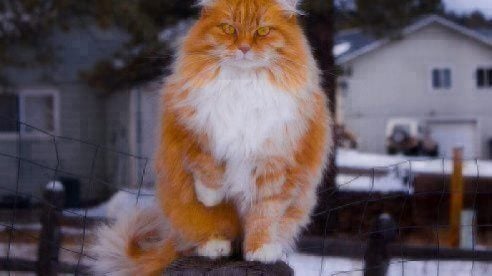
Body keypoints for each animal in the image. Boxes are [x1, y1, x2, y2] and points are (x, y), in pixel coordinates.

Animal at [92, 0, 330, 274]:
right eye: (228, 29)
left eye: (262, 32)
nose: (244, 48)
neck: (242, 84)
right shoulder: (191, 130)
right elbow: (206, 169)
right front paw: (211, 196)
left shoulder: (275, 165)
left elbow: (264, 216)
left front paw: (259, 250)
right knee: (209, 230)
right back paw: (215, 246)